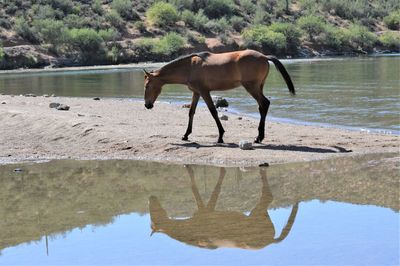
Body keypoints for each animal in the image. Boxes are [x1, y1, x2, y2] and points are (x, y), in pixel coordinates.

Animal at [144, 48, 294, 143]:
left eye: (147, 86)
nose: (147, 105)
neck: (190, 67)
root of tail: (264, 56)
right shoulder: (196, 92)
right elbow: (191, 112)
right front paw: (186, 135)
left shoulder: (204, 92)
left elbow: (213, 112)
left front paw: (220, 136)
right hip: (258, 87)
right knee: (262, 107)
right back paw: (259, 137)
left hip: (252, 87)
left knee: (264, 104)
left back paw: (259, 137)